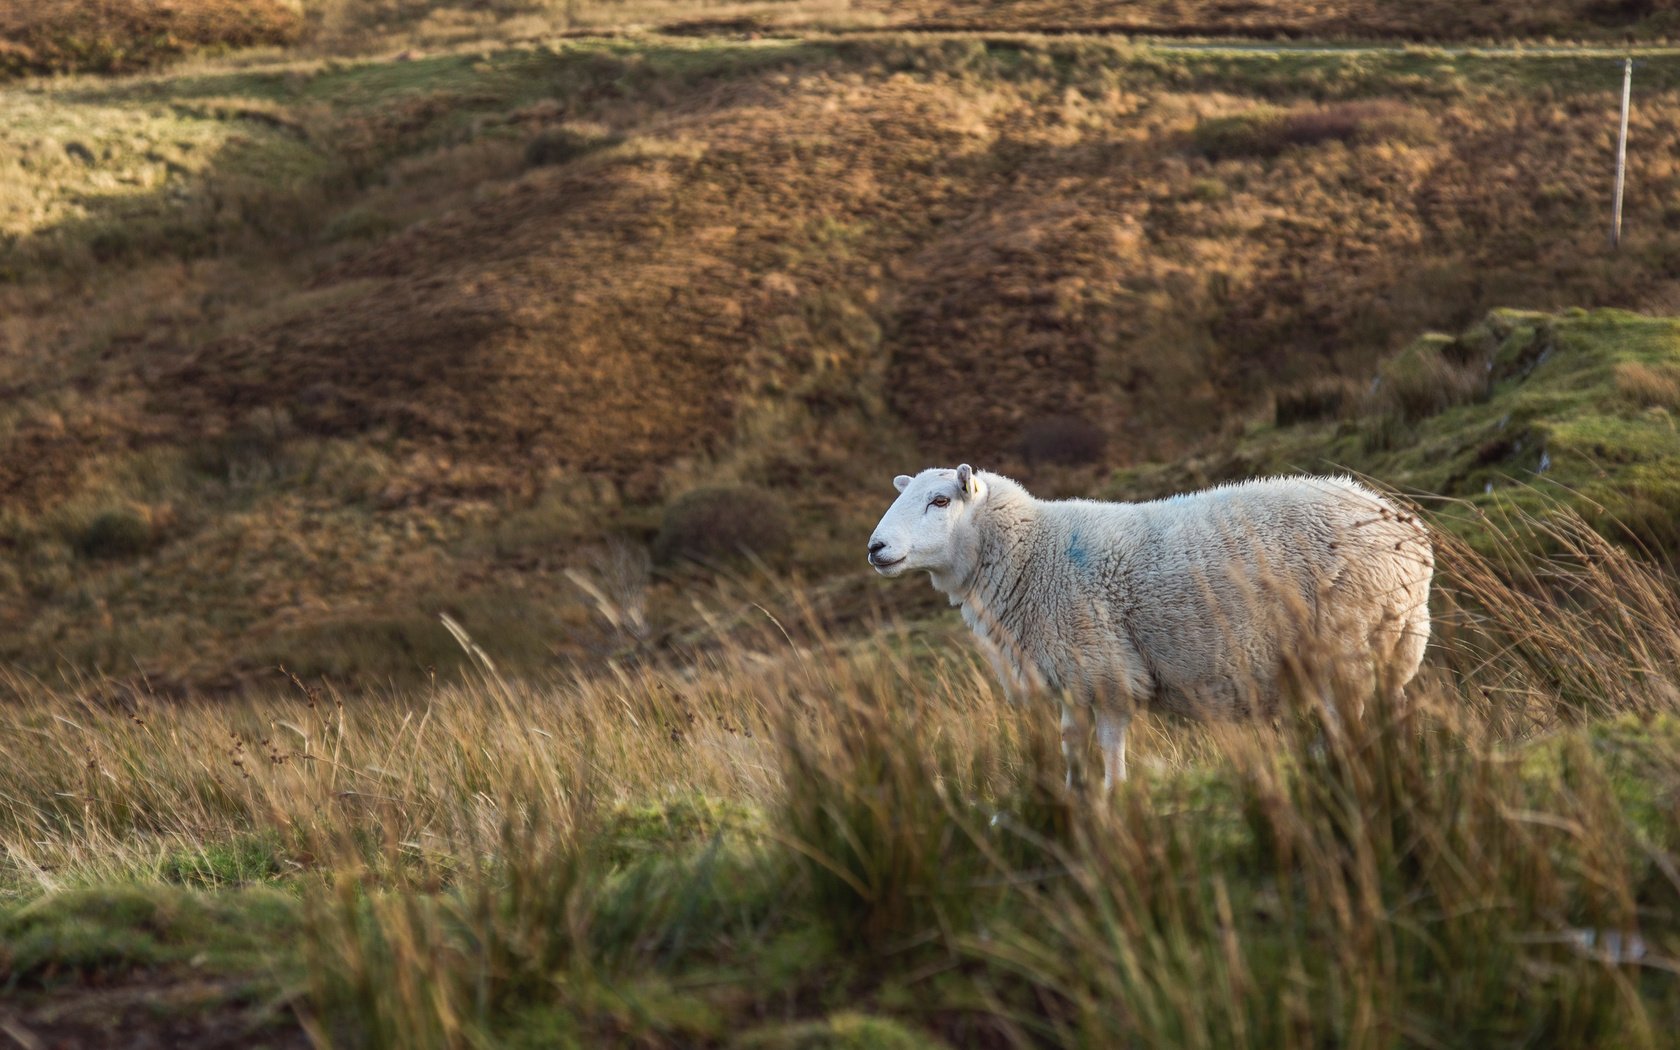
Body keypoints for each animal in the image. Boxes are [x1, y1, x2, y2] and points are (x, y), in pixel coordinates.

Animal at [866, 463, 1431, 789]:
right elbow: (1071, 745)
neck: (1031, 552)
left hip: (1347, 639)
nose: (875, 548)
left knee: (1348, 719)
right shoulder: (1072, 676)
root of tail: (1405, 528)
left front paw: (1114, 803)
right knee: (1392, 710)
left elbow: (1110, 748)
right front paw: (1076, 800)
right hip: (1394, 641)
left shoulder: (1105, 668)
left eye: (940, 501)